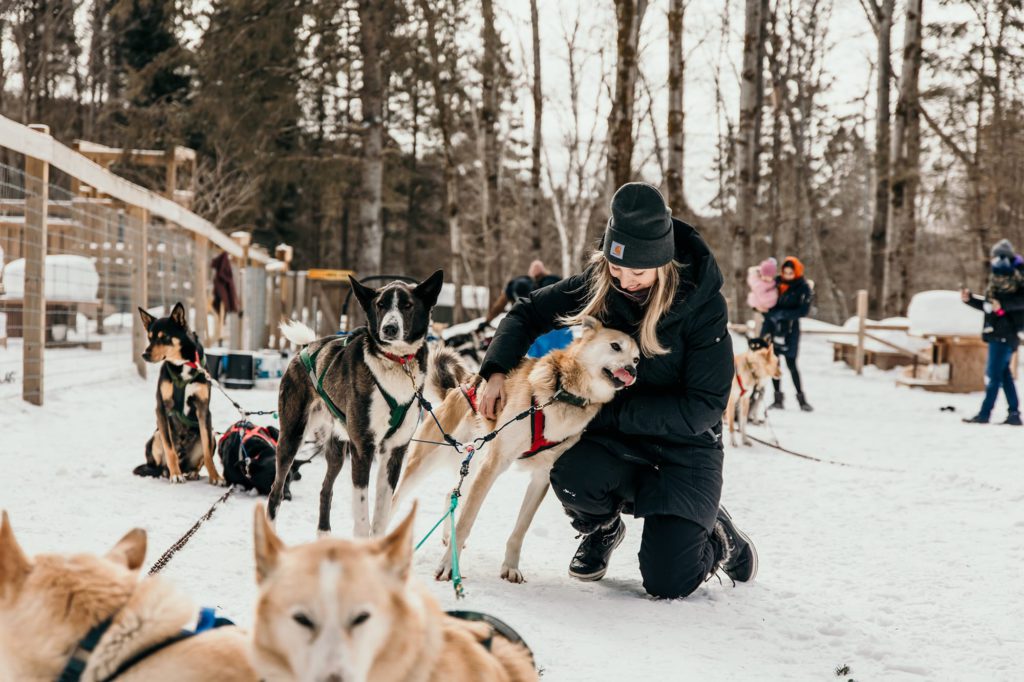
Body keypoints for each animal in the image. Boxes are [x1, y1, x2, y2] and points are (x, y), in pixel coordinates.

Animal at [134, 301, 224, 483]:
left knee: (199, 459)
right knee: (161, 463)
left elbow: (207, 453)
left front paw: (215, 476)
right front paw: (175, 474)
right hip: (156, 435)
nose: (144, 354)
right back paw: (168, 472)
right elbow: (170, 449)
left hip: (212, 434)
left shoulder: (203, 409)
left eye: (164, 337)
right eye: (150, 337)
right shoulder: (162, 408)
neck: (183, 364)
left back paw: (193, 473)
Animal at [266, 270, 462, 536]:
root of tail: (305, 350)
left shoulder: (394, 451)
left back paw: (324, 535)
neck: (397, 363)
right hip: (291, 438)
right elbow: (362, 517)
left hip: (337, 448)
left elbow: (380, 516)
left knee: (325, 489)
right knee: (275, 493)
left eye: (407, 305)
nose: (389, 328)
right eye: (380, 305)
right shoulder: (363, 449)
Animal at [391, 315, 638, 581]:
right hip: (429, 462)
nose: (633, 371)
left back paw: (449, 536)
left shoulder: (541, 477)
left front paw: (510, 567)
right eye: (615, 346)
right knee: (395, 499)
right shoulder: (493, 465)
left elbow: (520, 529)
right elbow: (466, 521)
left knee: (451, 494)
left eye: (636, 358)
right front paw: (449, 565)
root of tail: (457, 388)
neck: (563, 395)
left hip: (474, 466)